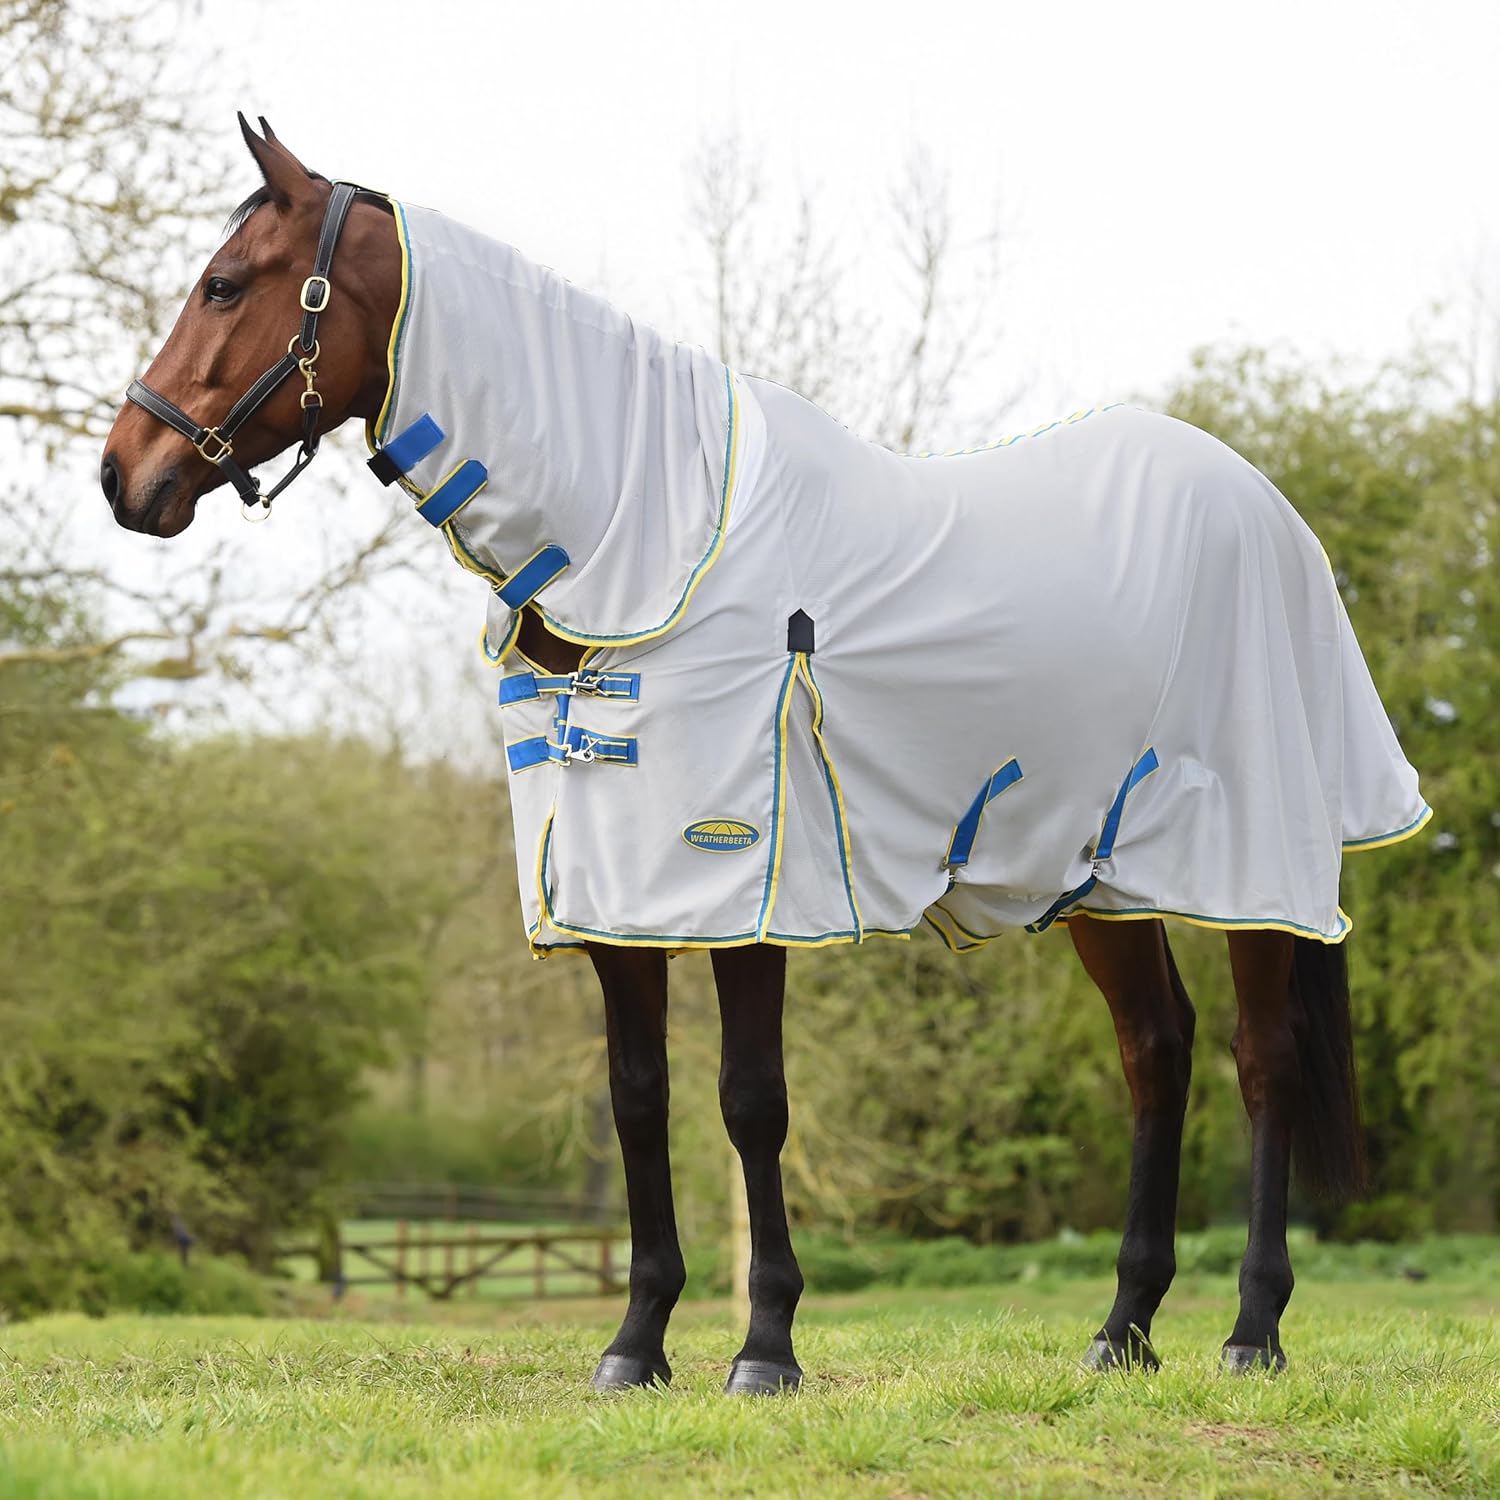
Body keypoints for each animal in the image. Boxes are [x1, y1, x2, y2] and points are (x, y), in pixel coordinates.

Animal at [101, 117, 1429, 1393]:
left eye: (224, 285)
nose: (125, 475)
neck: (640, 533)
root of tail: (1267, 508)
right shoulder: (614, 895)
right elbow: (638, 1098)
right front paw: (636, 1344)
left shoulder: (746, 887)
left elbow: (750, 1104)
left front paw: (765, 1349)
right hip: (1101, 870)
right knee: (1157, 1053)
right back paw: (1123, 1333)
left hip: (1250, 862)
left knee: (1262, 1062)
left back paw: (1252, 1331)